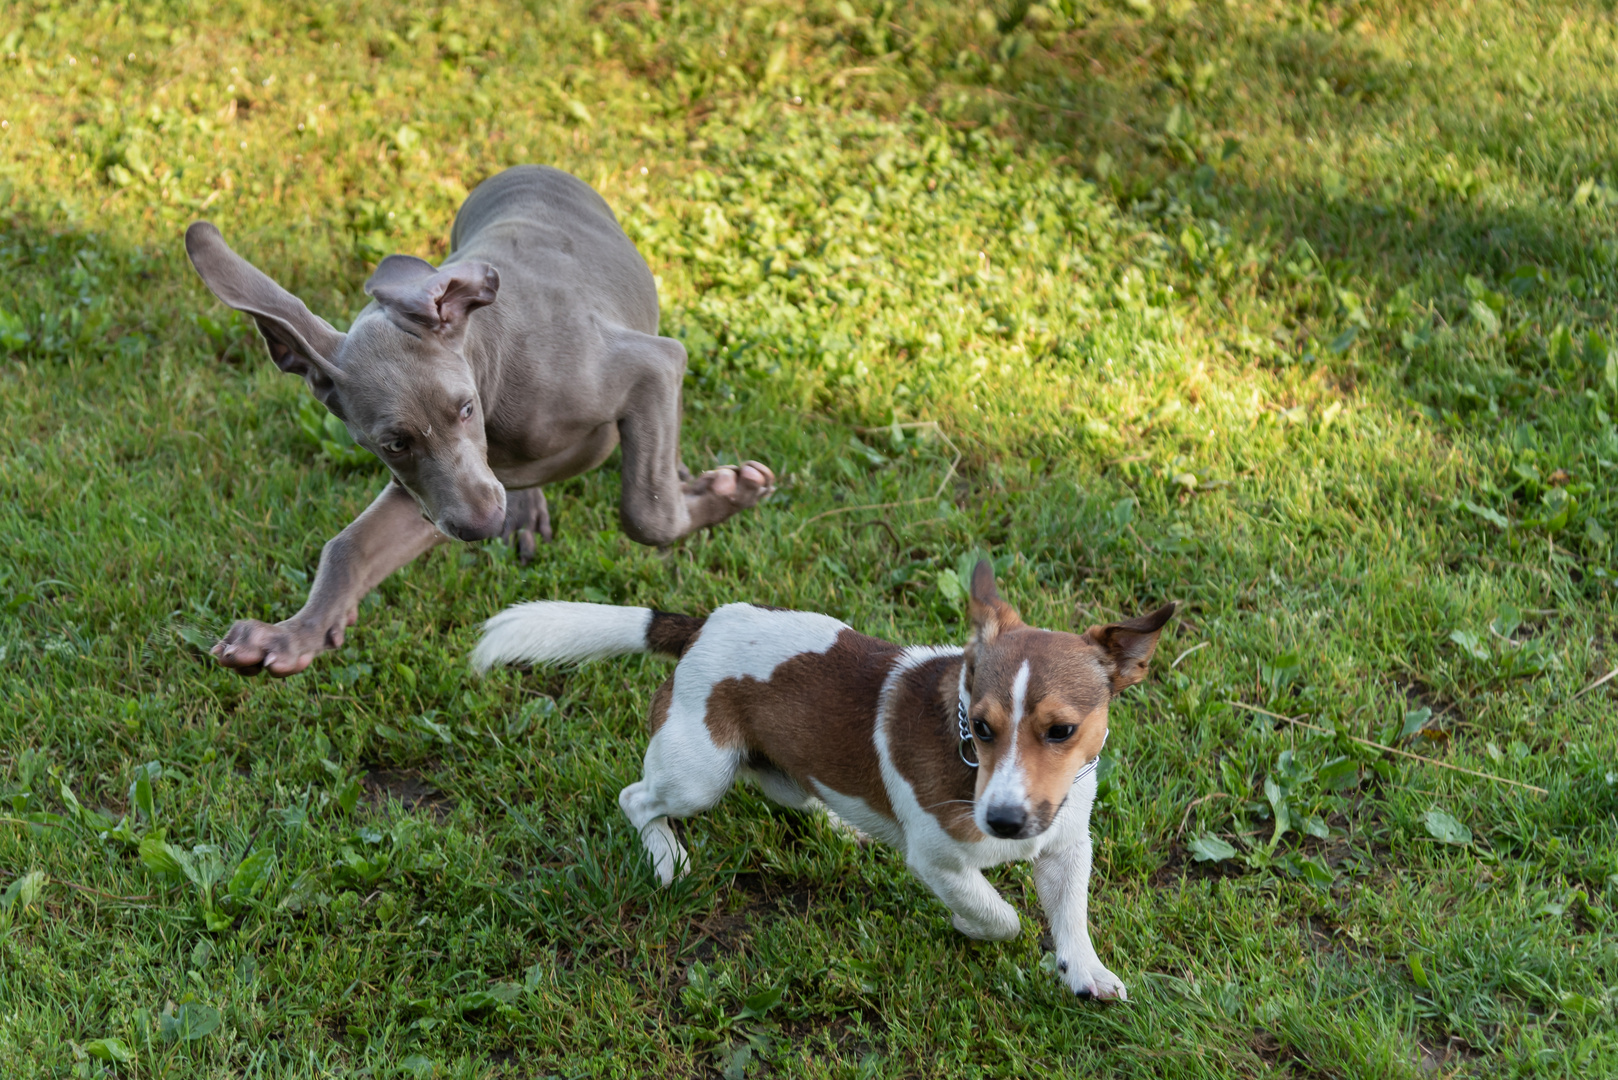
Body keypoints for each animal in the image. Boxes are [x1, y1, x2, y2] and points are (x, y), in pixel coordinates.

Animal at [187, 165, 770, 676]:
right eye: (392, 444)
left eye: (466, 408)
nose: (482, 528)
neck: (493, 368)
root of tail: (528, 167)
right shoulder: (434, 494)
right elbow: (348, 546)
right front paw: (291, 637)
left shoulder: (652, 363)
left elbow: (647, 513)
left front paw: (726, 494)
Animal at [472, 563, 1171, 1003]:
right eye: (981, 726)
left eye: (1061, 731)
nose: (1001, 822)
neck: (971, 766)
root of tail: (701, 626)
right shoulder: (937, 859)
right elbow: (999, 915)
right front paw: (971, 925)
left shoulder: (1066, 846)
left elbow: (1070, 915)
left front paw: (1084, 971)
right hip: (698, 774)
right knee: (636, 799)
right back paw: (666, 854)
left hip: (775, 769)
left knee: (799, 791)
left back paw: (843, 823)